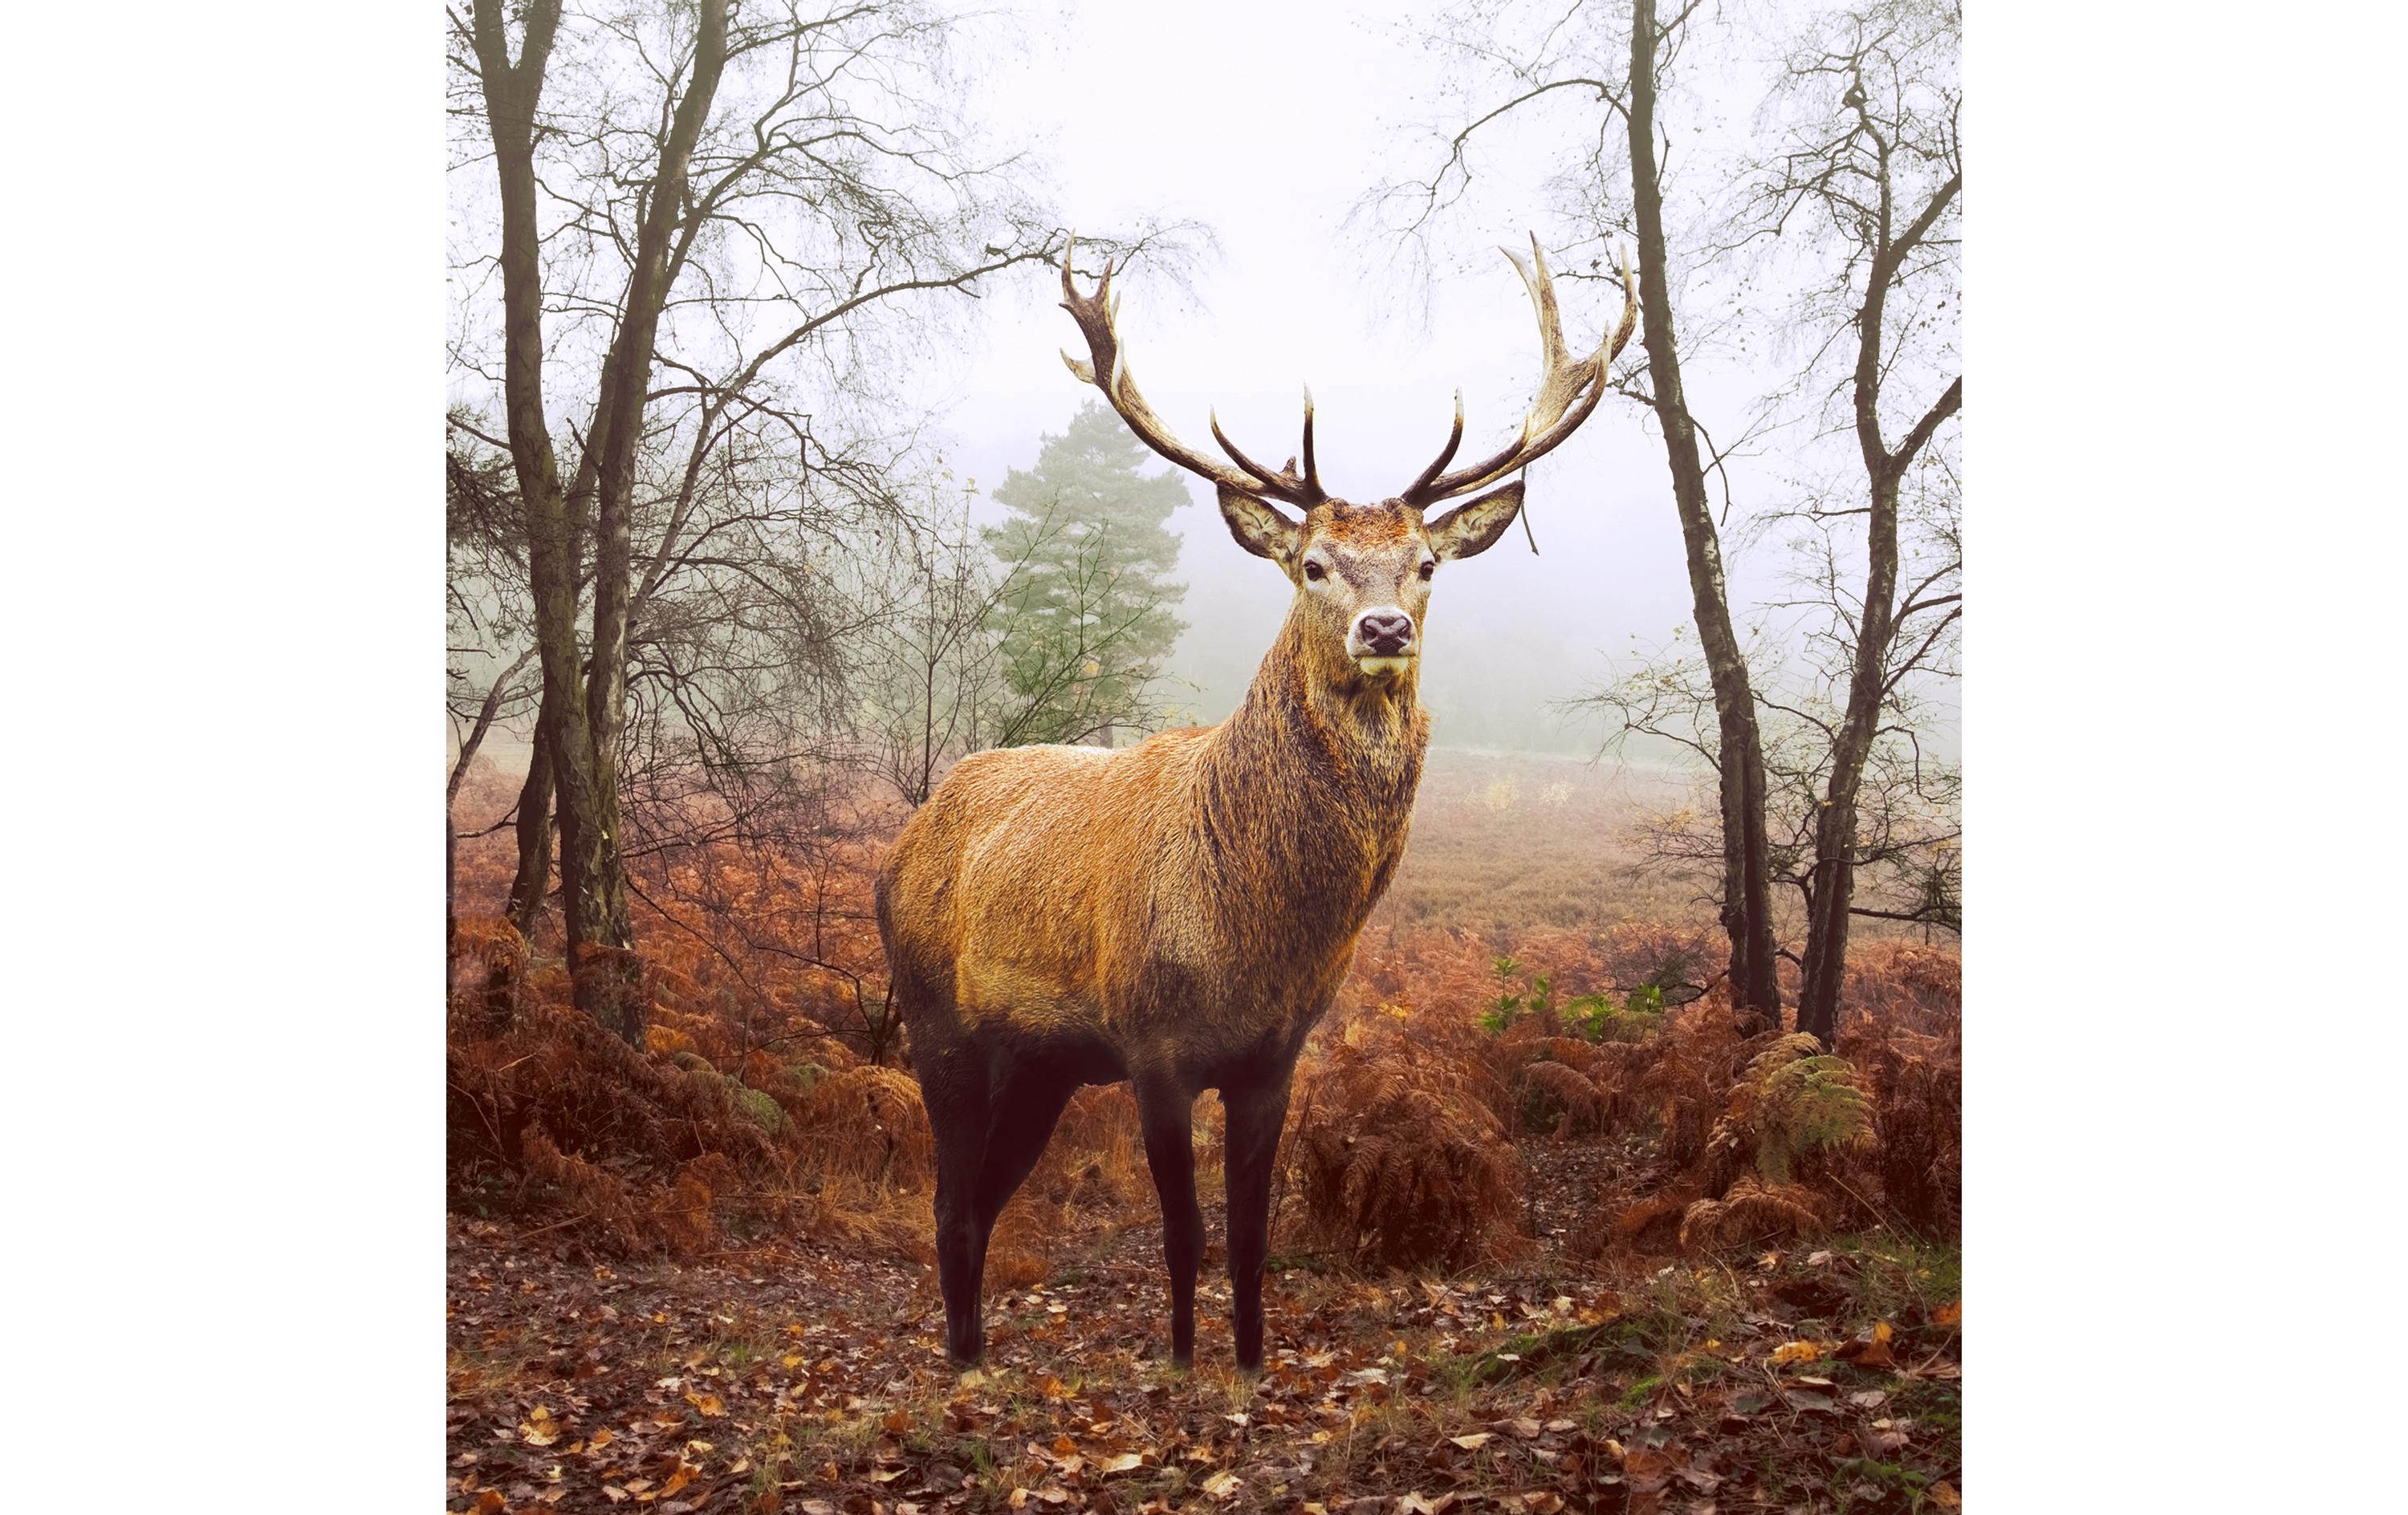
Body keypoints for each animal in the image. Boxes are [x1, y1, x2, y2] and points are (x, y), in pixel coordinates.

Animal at [875, 234, 1637, 1372]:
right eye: (1312, 563)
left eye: (1425, 564)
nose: (1382, 628)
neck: (1252, 931)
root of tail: (900, 843)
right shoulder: (1151, 1044)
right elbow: (1183, 1233)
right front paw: (1185, 1364)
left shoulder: (1275, 1055)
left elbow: (1250, 1235)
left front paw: (1247, 1365)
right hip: (938, 1023)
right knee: (949, 1202)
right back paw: (964, 1368)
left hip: (1041, 1064)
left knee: (981, 1198)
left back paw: (976, 1355)